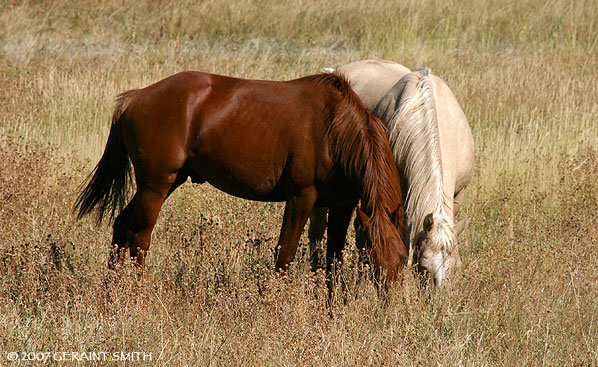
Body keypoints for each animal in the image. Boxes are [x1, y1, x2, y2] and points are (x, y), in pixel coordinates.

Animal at [75, 71, 408, 282]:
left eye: (403, 258)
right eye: (370, 258)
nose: (386, 305)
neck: (334, 129)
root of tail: (136, 97)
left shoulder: (343, 205)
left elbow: (332, 261)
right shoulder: (301, 197)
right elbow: (285, 254)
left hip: (163, 183)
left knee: (121, 227)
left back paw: (111, 292)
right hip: (156, 185)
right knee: (139, 237)